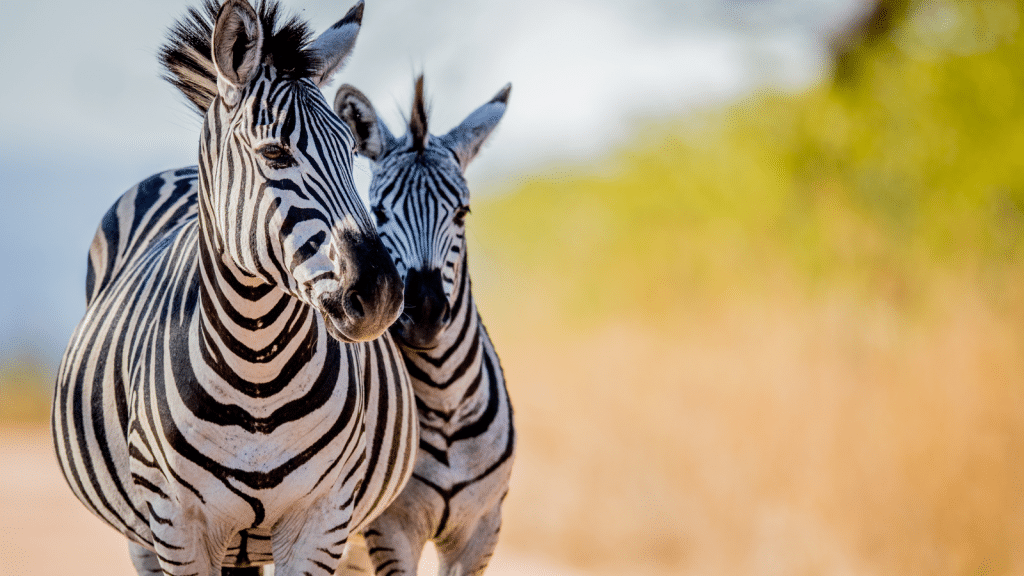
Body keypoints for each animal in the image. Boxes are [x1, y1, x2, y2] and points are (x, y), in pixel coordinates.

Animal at [50, 2, 418, 575]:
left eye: (350, 153)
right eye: (274, 154)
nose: (380, 295)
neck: (257, 373)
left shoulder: (323, 518)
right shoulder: (177, 525)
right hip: (142, 535)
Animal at [331, 76, 515, 576]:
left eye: (462, 213)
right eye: (378, 213)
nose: (425, 314)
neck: (445, 399)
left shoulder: (481, 530)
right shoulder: (391, 531)